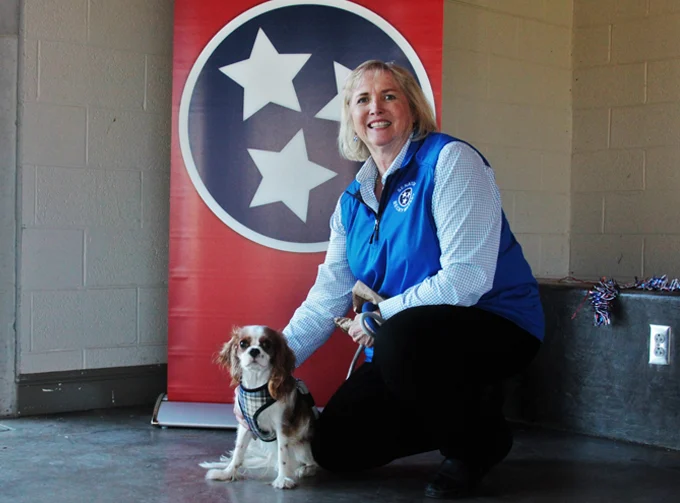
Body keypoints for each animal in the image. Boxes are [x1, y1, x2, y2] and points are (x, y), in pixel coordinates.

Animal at [199, 326, 318, 488]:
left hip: (302, 447)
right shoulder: (245, 425)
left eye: (267, 344)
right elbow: (238, 452)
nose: (254, 350)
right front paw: (227, 473)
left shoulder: (282, 426)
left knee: (311, 463)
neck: (256, 383)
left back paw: (304, 470)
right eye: (243, 344)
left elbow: (283, 454)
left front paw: (282, 479)